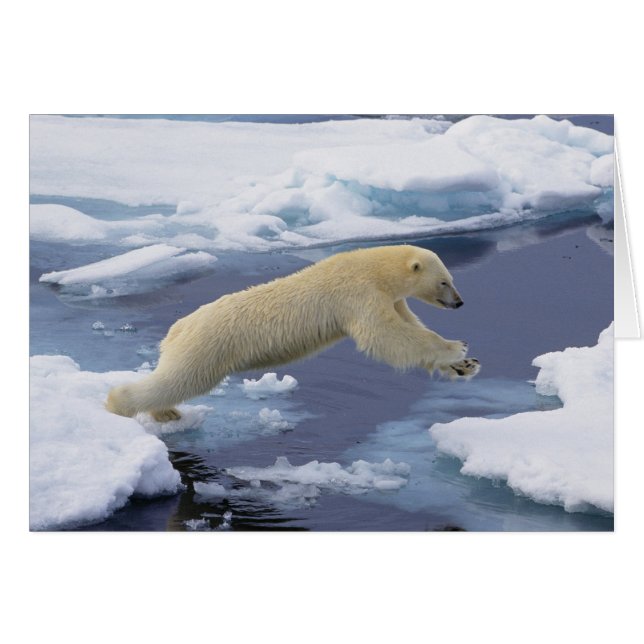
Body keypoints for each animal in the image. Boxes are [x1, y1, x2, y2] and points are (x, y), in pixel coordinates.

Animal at [106, 245, 480, 422]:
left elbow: (410, 327)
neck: (373, 269)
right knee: (180, 379)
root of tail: (178, 327)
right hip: (208, 346)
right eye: (444, 281)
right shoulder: (358, 294)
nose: (460, 302)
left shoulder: (390, 298)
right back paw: (121, 404)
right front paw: (457, 348)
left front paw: (465, 365)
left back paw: (165, 411)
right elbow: (387, 337)